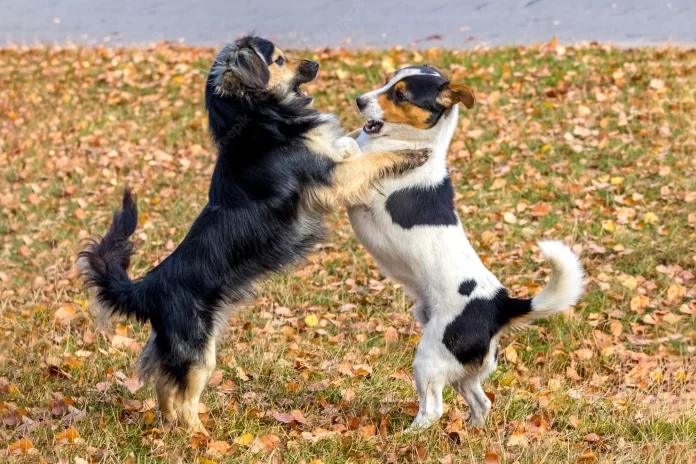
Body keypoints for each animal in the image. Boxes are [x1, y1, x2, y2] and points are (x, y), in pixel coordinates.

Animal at [77, 37, 430, 436]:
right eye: (278, 59)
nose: (315, 63)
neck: (256, 120)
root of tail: (148, 288)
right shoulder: (331, 178)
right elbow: (371, 159)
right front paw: (412, 153)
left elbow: (353, 144)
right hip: (198, 352)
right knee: (184, 401)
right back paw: (200, 437)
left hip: (188, 347)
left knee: (165, 388)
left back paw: (170, 428)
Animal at [346, 64, 580, 428]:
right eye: (386, 81)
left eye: (400, 94)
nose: (359, 101)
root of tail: (500, 306)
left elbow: (346, 147)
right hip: (463, 369)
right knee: (481, 402)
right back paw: (472, 430)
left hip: (429, 358)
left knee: (433, 409)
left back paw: (411, 433)